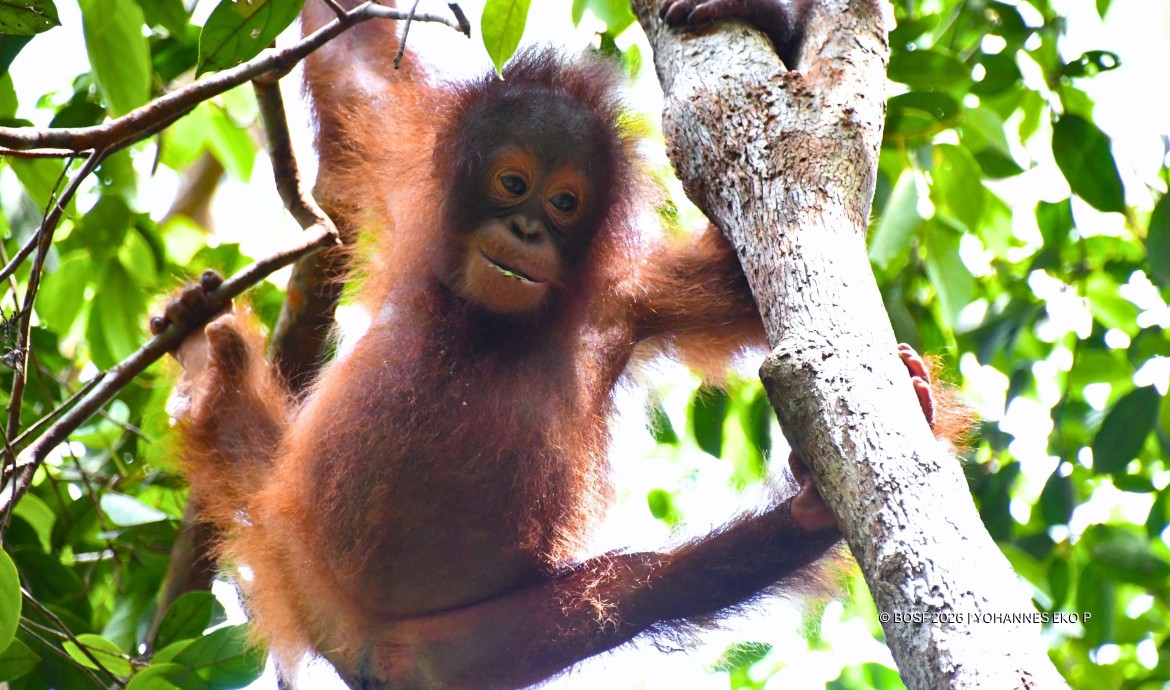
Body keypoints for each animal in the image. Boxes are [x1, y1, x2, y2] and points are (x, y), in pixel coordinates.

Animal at [151, 1, 968, 688]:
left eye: (566, 202)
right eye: (513, 184)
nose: (527, 229)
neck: (486, 324)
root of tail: (357, 645)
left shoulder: (633, 296)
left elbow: (759, 255)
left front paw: (769, 14)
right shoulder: (407, 169)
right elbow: (352, 67)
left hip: (466, 648)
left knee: (643, 590)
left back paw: (810, 513)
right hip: (293, 546)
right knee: (245, 451)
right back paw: (206, 366)